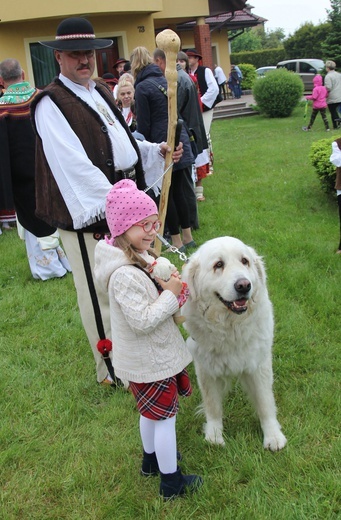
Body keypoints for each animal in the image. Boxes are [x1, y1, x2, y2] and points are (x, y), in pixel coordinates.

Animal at [182, 237, 286, 450]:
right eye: (218, 265)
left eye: (244, 261)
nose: (244, 285)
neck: (230, 327)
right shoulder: (206, 369)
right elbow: (213, 405)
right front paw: (214, 435)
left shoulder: (259, 365)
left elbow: (265, 402)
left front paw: (272, 435)